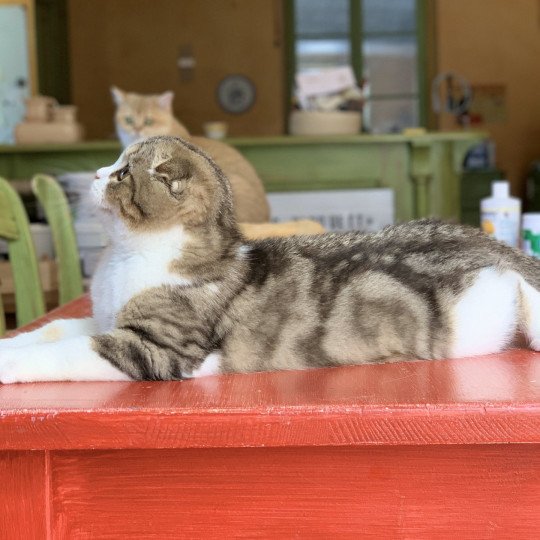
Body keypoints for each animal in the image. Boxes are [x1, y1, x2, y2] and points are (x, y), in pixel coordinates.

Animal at [0, 136, 536, 384]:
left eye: (122, 173)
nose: (94, 173)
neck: (124, 256)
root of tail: (486, 243)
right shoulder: (105, 319)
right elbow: (51, 329)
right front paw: (10, 344)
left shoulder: (155, 347)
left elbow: (65, 352)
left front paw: (12, 367)